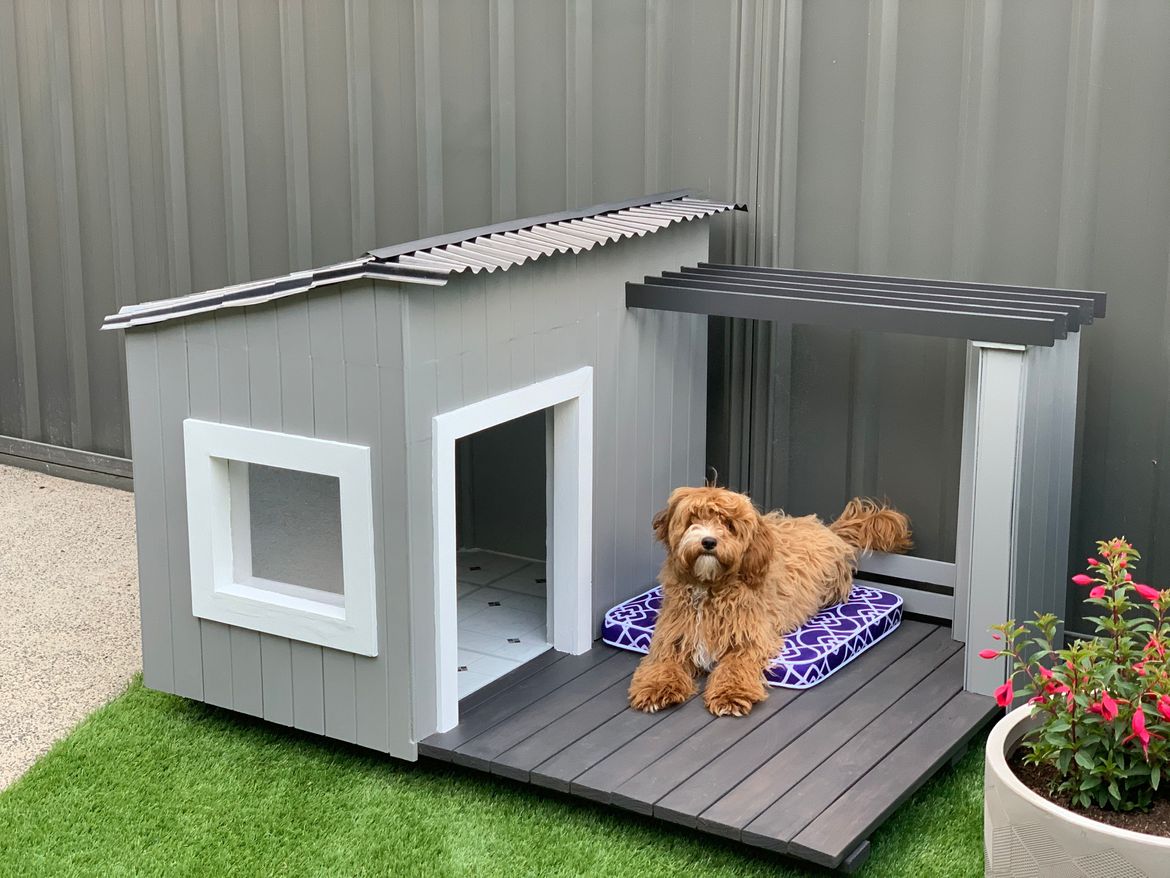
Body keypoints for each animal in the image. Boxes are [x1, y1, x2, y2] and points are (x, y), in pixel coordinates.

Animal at [631, 489, 912, 721]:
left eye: (729, 525)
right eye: (693, 519)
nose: (709, 542)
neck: (708, 588)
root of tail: (829, 529)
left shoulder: (750, 638)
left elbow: (735, 666)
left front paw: (730, 695)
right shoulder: (672, 635)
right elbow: (663, 662)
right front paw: (657, 688)